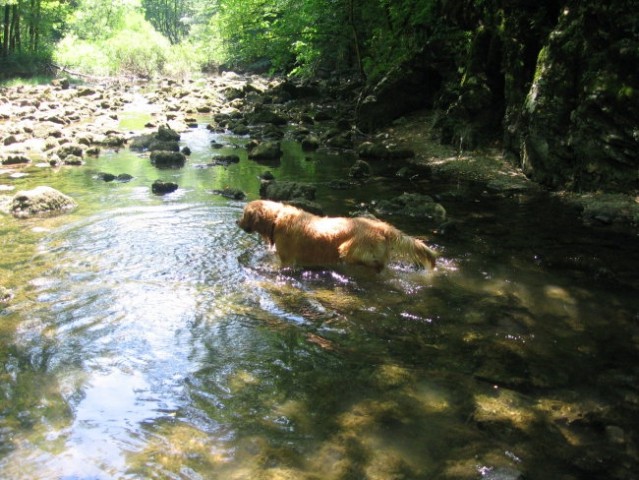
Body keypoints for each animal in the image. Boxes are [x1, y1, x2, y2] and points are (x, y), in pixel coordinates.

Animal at [238, 200, 438, 272]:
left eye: (244, 214)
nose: (236, 222)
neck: (276, 219)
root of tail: (382, 226)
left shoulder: (287, 260)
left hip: (349, 250)